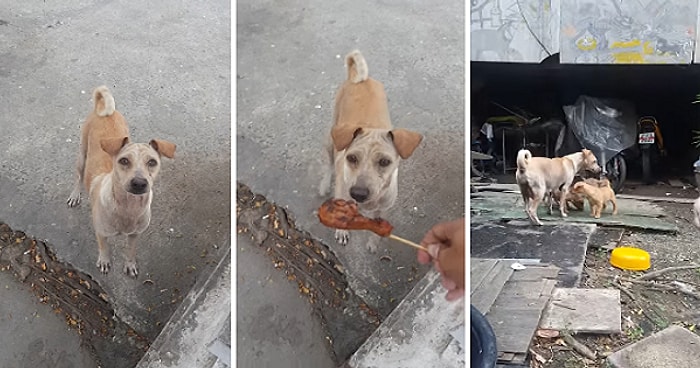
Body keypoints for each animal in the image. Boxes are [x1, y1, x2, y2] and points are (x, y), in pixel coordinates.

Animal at [66, 86, 175, 276]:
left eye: (152, 162)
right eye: (124, 161)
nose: (139, 183)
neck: (128, 208)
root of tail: (105, 112)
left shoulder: (135, 235)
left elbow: (131, 251)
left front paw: (130, 264)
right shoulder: (101, 233)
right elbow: (104, 248)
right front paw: (104, 261)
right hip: (82, 156)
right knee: (78, 176)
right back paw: (75, 195)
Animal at [320, 50, 424, 253]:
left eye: (384, 162)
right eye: (351, 158)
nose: (358, 194)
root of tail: (360, 79)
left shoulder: (383, 209)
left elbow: (376, 225)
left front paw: (374, 241)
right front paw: (342, 231)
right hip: (331, 140)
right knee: (329, 165)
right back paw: (324, 183)